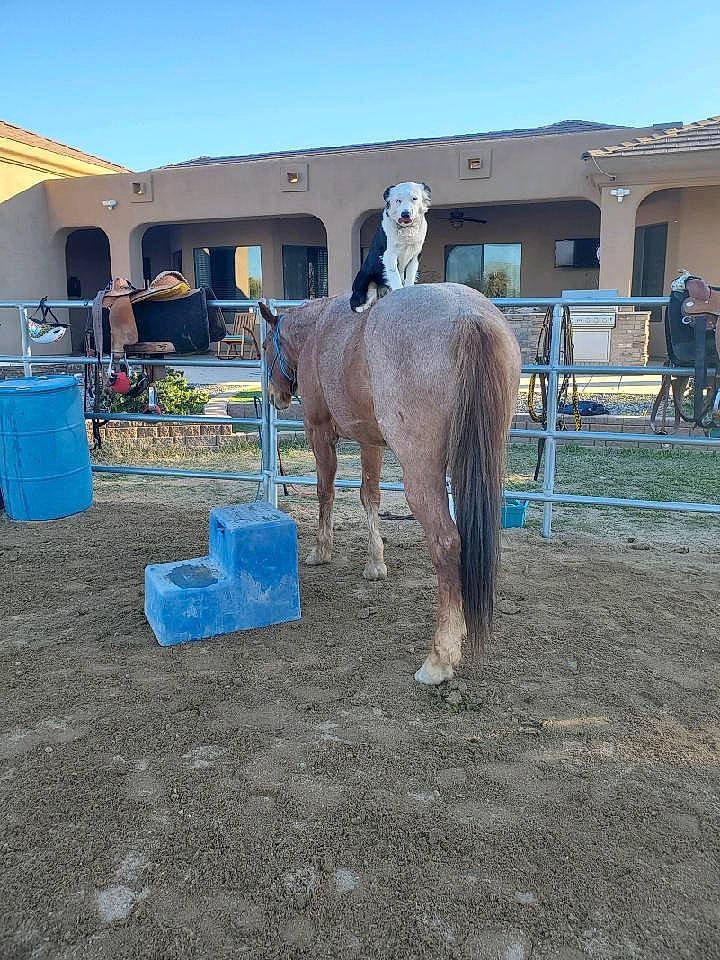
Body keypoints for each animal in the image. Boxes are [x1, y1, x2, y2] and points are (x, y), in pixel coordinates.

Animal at [259, 282, 521, 685]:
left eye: (265, 347)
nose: (275, 397)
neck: (320, 331)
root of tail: (469, 318)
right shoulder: (371, 442)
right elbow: (370, 496)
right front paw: (375, 563)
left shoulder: (319, 431)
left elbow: (325, 491)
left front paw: (321, 550)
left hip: (421, 475)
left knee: (447, 543)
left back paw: (439, 657)